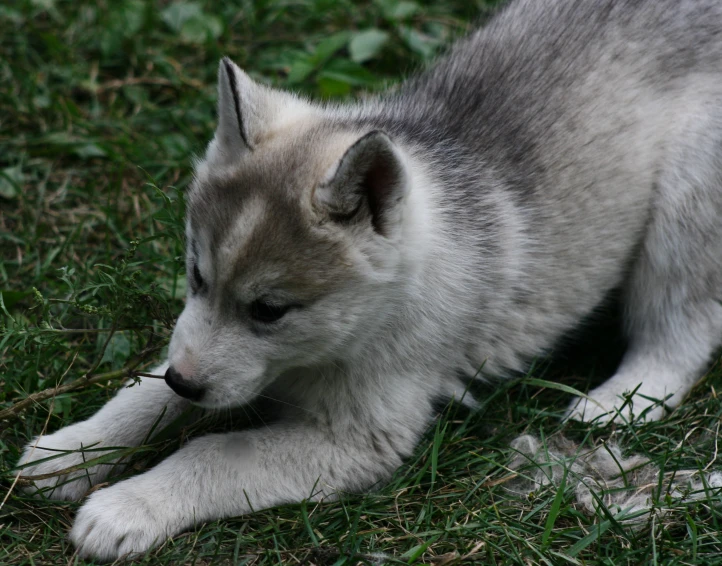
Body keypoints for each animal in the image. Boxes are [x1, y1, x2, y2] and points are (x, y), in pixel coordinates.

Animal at [18, 0, 720, 560]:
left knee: (681, 329)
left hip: (684, 199)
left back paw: (618, 402)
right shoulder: (199, 356)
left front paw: (127, 506)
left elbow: (213, 452)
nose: (187, 383)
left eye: (269, 310)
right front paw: (71, 452)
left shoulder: (360, 441)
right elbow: (143, 393)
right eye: (195, 274)